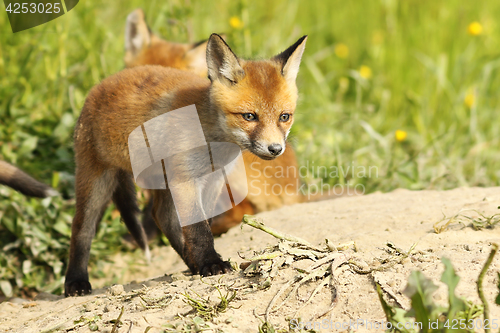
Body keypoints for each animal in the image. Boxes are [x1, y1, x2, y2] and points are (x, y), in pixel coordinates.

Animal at [65, 32, 308, 294]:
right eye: (249, 116)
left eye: (284, 116)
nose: (275, 149)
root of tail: (101, 84)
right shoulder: (186, 178)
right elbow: (198, 227)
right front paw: (210, 263)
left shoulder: (214, 179)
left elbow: (200, 223)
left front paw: (202, 262)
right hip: (96, 182)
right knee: (81, 229)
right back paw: (75, 282)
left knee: (162, 216)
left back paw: (190, 263)